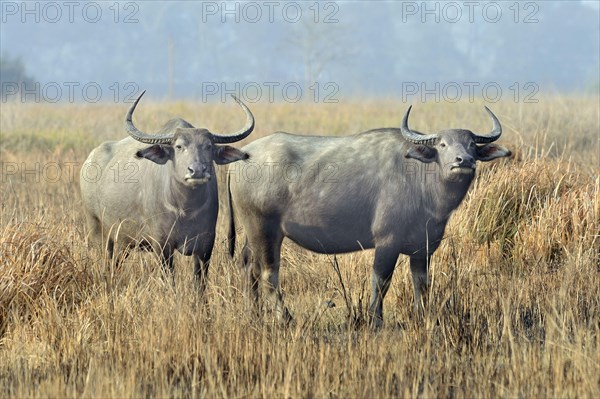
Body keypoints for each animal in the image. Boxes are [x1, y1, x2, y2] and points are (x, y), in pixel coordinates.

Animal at [81, 92, 254, 290]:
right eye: (179, 146)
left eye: (208, 146)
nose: (197, 170)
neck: (186, 209)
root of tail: (90, 159)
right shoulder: (162, 244)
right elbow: (170, 280)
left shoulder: (206, 243)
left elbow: (199, 282)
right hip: (98, 232)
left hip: (122, 241)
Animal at [227, 107, 508, 328]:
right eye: (442, 144)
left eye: (471, 144)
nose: (464, 161)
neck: (420, 178)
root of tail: (244, 155)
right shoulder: (387, 242)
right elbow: (381, 281)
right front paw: (375, 319)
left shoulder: (423, 248)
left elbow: (422, 284)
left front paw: (423, 317)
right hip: (264, 230)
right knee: (268, 273)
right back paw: (285, 318)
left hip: (253, 232)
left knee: (248, 267)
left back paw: (253, 315)